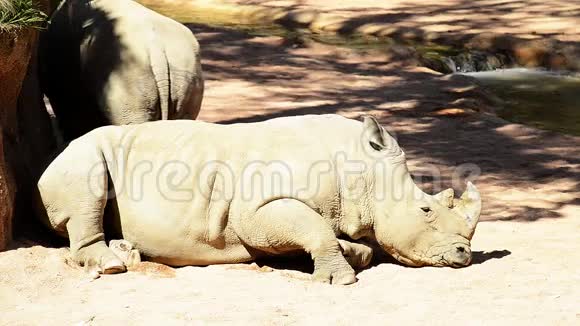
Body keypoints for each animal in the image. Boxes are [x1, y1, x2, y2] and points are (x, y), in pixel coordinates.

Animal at [36, 114, 480, 282]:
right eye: (425, 209)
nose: (464, 254)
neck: (361, 172)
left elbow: (347, 239)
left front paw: (351, 252)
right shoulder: (255, 211)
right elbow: (313, 227)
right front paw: (339, 278)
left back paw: (127, 252)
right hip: (79, 154)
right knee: (86, 184)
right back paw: (112, 265)